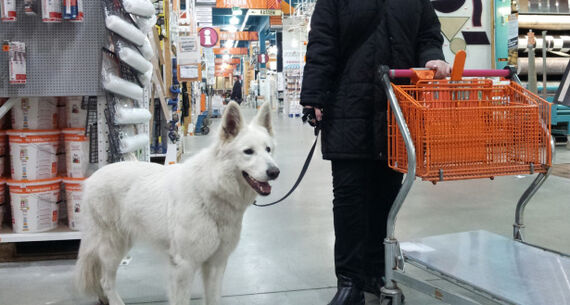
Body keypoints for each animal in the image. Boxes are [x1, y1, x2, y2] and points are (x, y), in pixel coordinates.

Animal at [74, 102, 278, 304]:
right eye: (248, 151)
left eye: (268, 150)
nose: (275, 172)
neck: (211, 189)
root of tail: (92, 178)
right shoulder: (184, 266)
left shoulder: (216, 264)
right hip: (113, 247)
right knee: (105, 281)